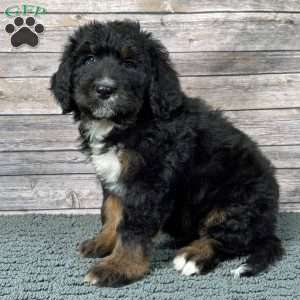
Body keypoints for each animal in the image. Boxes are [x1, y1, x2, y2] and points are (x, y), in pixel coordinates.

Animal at [50, 19, 282, 288]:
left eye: (130, 64)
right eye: (88, 59)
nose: (105, 89)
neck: (128, 123)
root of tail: (268, 228)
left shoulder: (149, 181)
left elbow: (133, 229)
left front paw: (119, 267)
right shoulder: (115, 179)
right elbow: (111, 211)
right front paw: (102, 242)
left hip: (237, 202)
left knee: (226, 239)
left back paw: (194, 255)